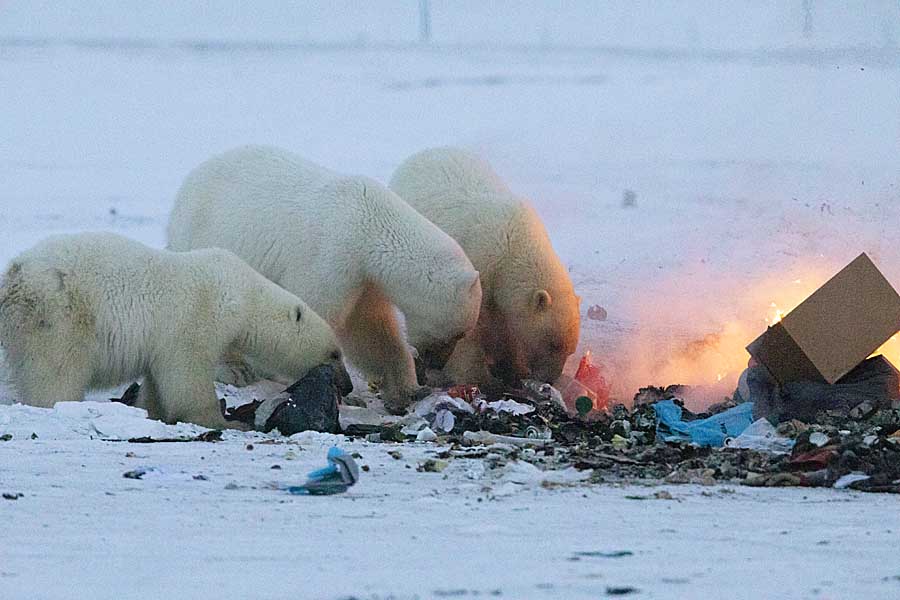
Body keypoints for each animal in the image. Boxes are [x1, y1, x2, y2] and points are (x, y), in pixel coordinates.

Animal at [0, 232, 350, 428]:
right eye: (335, 353)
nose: (346, 386)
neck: (241, 294)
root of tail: (12, 280)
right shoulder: (196, 315)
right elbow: (186, 374)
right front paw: (226, 422)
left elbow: (158, 380)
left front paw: (151, 412)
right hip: (58, 316)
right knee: (57, 371)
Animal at [165, 148, 482, 414]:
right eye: (457, 334)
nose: (436, 365)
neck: (370, 222)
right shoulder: (330, 255)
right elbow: (312, 316)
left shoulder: (363, 278)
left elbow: (370, 331)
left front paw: (407, 389)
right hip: (205, 237)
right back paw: (234, 370)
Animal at [390, 148, 580, 386]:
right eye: (553, 344)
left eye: (571, 350)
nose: (550, 380)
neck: (513, 244)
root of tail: (425, 153)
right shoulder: (478, 265)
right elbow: (472, 328)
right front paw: (476, 375)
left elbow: (506, 327)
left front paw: (513, 368)